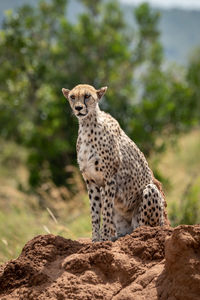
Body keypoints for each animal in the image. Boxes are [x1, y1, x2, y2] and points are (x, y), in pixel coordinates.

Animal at [61, 84, 167, 241]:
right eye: (72, 97)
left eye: (87, 96)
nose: (78, 108)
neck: (87, 125)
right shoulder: (91, 181)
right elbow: (94, 213)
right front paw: (95, 239)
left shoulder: (109, 180)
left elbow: (105, 211)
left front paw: (104, 239)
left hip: (150, 192)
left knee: (143, 226)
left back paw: (136, 233)